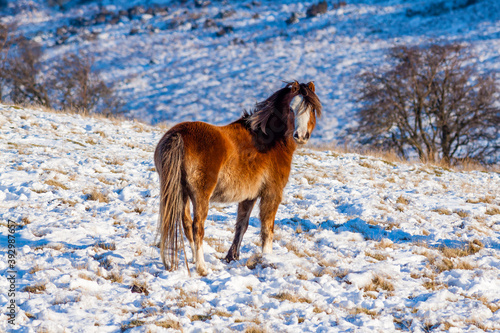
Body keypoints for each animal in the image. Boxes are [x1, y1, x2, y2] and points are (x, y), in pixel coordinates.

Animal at [154, 81, 322, 274]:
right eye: (291, 109)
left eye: (312, 109)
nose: (301, 136)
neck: (268, 139)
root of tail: (178, 135)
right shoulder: (272, 193)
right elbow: (267, 229)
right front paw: (267, 257)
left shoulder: (249, 196)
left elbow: (241, 225)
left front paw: (231, 257)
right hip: (200, 195)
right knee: (197, 227)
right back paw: (202, 267)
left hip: (181, 193)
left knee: (187, 224)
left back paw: (194, 260)